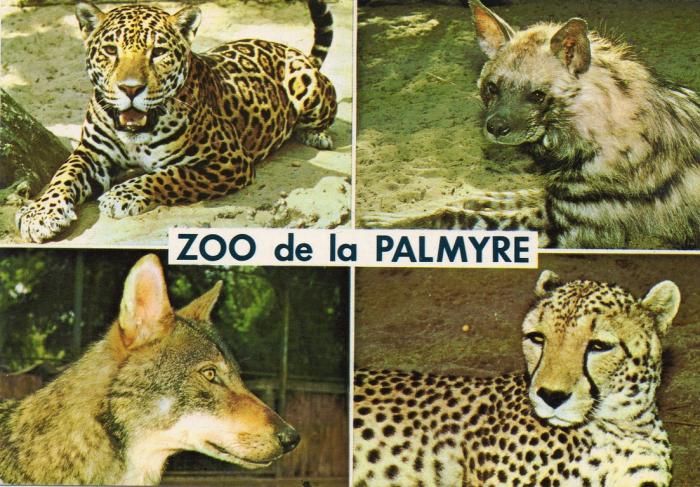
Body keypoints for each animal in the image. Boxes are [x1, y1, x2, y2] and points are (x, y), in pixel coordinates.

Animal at [15, 0, 338, 242]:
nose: (130, 89)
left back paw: (316, 134)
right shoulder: (91, 153)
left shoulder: (228, 160)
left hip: (307, 85)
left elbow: (171, 175)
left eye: (158, 53)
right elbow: (63, 174)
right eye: (110, 51)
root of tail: (294, 51)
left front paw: (122, 194)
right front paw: (41, 214)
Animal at [363, 0, 700, 249]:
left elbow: (451, 215)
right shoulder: (552, 198)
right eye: (492, 88)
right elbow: (484, 196)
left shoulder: (558, 227)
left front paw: (388, 223)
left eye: (537, 95)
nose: (495, 127)